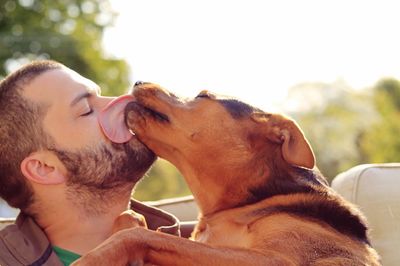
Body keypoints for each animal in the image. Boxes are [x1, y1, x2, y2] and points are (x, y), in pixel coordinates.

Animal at [74, 82, 382, 264]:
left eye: (202, 96)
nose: (138, 81)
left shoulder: (273, 260)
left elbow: (142, 236)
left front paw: (89, 259)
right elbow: (132, 223)